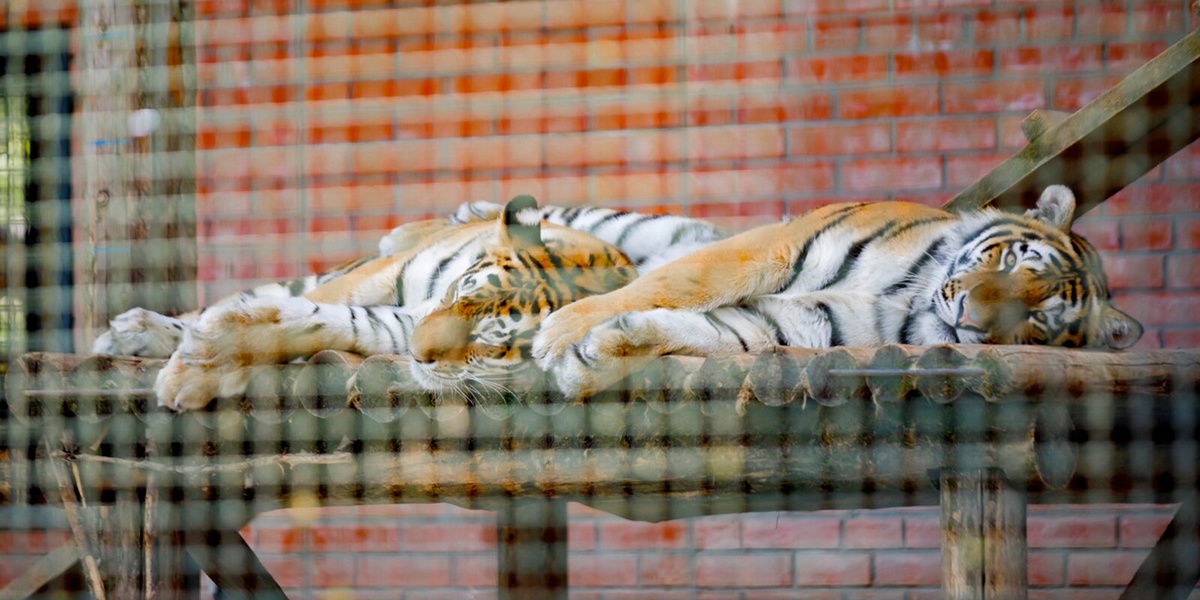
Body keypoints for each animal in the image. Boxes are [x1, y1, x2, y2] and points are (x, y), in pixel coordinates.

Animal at [91, 194, 720, 410]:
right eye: (461, 292)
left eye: (490, 342)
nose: (418, 356)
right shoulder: (384, 286)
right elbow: (311, 302)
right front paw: (194, 360)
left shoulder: (400, 322)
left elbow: (323, 322)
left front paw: (201, 366)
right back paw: (133, 330)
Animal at [532, 182, 1142, 398]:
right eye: (1013, 260)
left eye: (1038, 317)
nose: (969, 315)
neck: (911, 298)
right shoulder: (773, 248)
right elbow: (675, 283)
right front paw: (559, 332)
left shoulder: (807, 322)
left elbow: (712, 334)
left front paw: (596, 355)